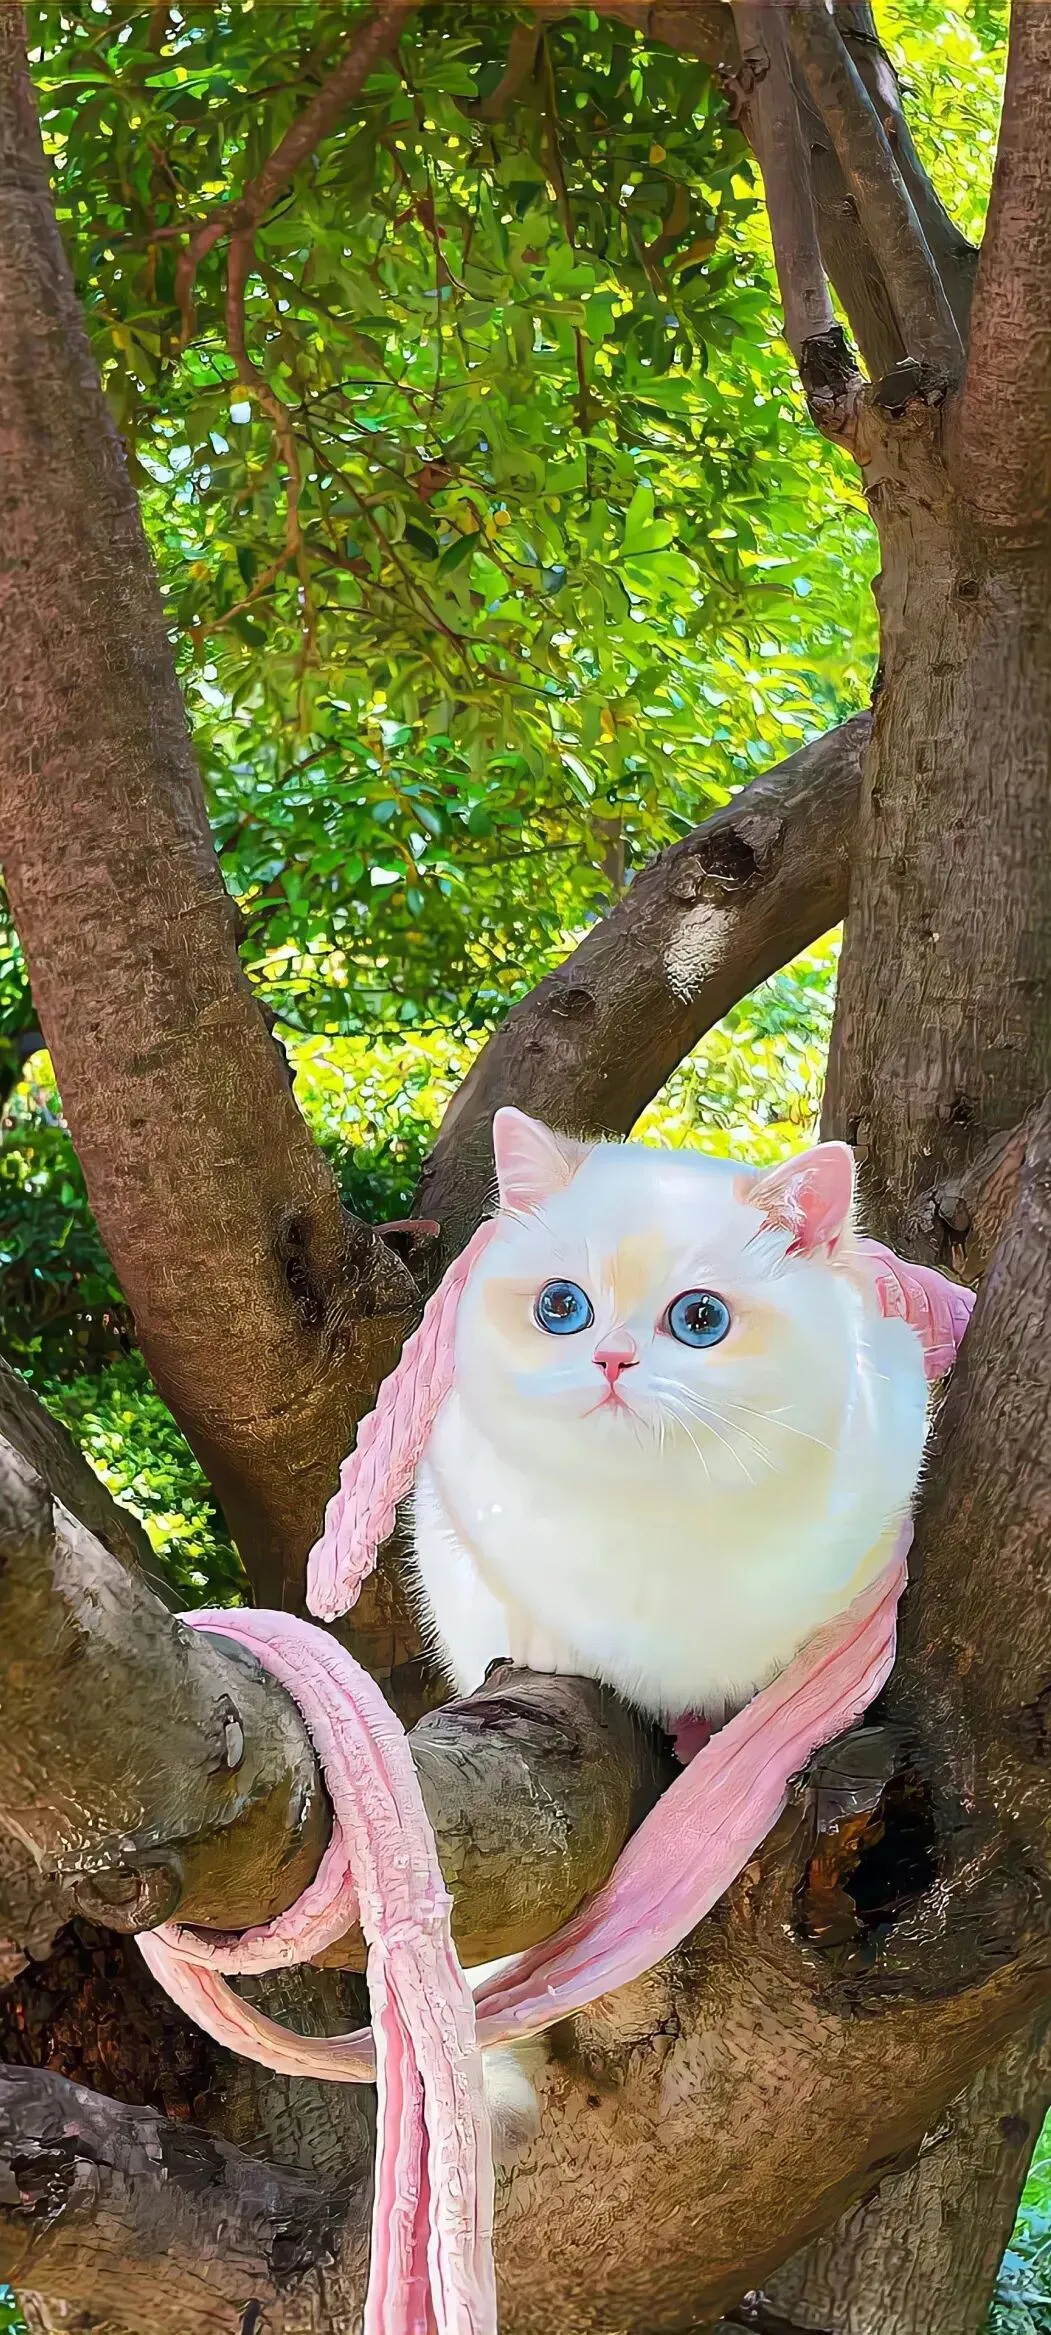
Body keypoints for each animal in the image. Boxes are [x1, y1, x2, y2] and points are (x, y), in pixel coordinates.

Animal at [410, 1108, 931, 2154]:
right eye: (559, 1307)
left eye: (699, 1320)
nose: (610, 1359)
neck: (650, 1513)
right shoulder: (452, 1510)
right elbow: (516, 1601)